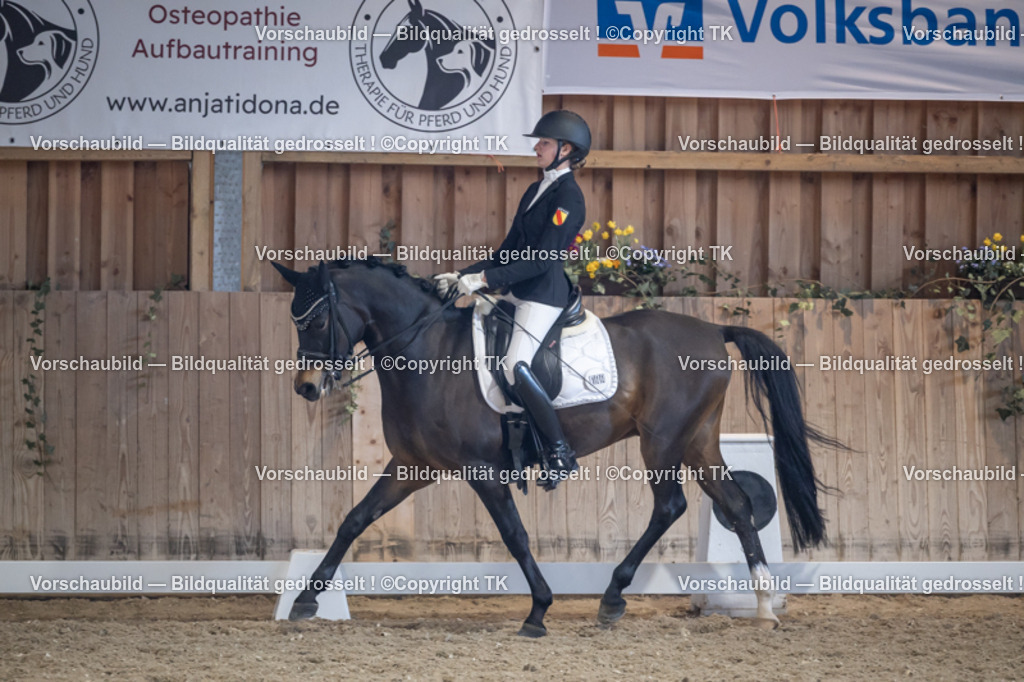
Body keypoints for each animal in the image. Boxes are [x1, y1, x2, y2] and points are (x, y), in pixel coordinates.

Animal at [273, 258, 835, 636]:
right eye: (295, 319)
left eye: (316, 320)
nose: (305, 387)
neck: (428, 353)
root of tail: (714, 329)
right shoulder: (413, 466)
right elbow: (353, 521)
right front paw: (305, 600)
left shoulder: (482, 471)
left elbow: (516, 536)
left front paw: (539, 610)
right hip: (697, 442)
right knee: (737, 505)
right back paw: (763, 605)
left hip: (663, 441)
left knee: (670, 506)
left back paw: (613, 597)